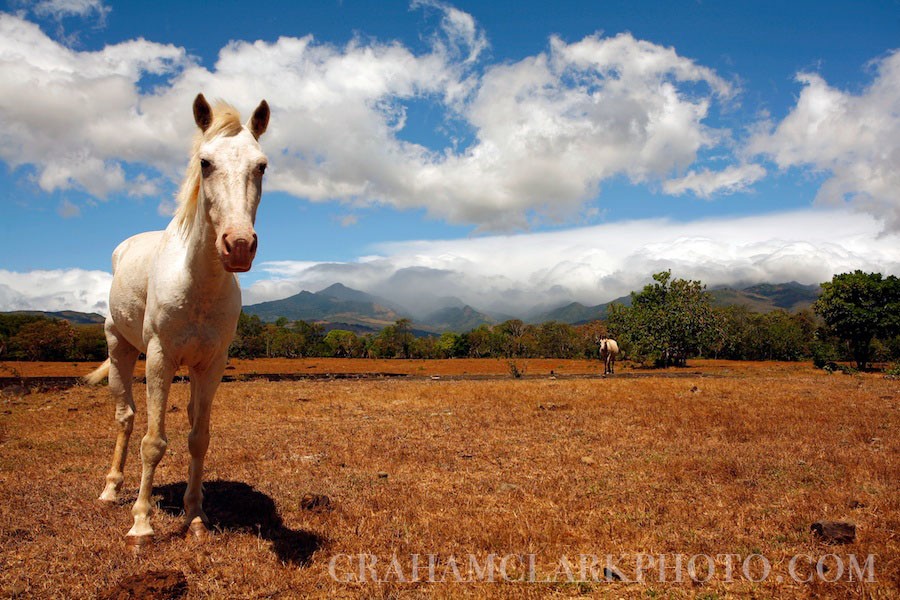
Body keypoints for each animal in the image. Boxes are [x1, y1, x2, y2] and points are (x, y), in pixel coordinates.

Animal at [87, 94, 270, 544]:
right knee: (126, 418)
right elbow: (153, 441)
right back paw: (112, 489)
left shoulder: (212, 364)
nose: (239, 245)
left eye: (261, 165)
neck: (197, 282)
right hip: (120, 349)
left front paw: (196, 516)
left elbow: (198, 438)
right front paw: (141, 522)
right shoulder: (159, 358)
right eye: (205, 162)